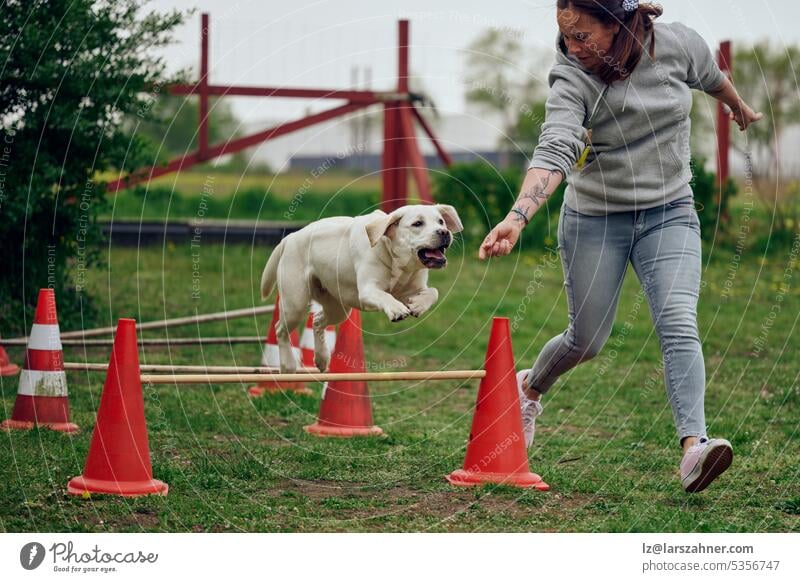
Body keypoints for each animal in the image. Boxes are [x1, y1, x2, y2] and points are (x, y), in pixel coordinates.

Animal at [262, 205, 462, 374]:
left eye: (441, 221)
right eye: (417, 223)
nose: (444, 232)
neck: (397, 261)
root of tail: (290, 237)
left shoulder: (413, 288)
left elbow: (433, 292)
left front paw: (419, 304)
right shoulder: (368, 290)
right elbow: (385, 296)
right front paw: (397, 310)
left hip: (338, 309)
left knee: (318, 321)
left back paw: (321, 359)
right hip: (295, 304)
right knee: (280, 329)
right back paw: (288, 366)